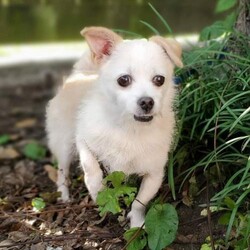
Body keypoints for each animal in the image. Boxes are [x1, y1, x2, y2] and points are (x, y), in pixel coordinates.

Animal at [46, 26, 182, 228]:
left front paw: (137, 223)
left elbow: (140, 202)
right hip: (64, 145)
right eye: (123, 80)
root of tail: (82, 73)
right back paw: (64, 195)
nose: (147, 102)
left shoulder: (155, 174)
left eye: (159, 79)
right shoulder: (83, 141)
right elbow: (92, 170)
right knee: (62, 172)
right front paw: (98, 193)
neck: (129, 128)